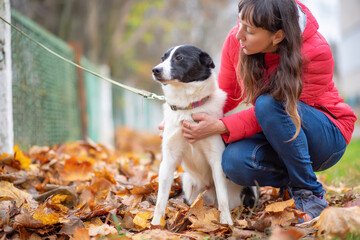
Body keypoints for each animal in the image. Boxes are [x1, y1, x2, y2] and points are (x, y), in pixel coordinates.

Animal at [150, 45, 258, 227]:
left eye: (179, 57)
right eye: (162, 58)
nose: (155, 70)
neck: (188, 108)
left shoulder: (216, 159)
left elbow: (222, 198)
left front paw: (226, 222)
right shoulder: (168, 159)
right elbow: (160, 200)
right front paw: (155, 224)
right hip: (188, 181)